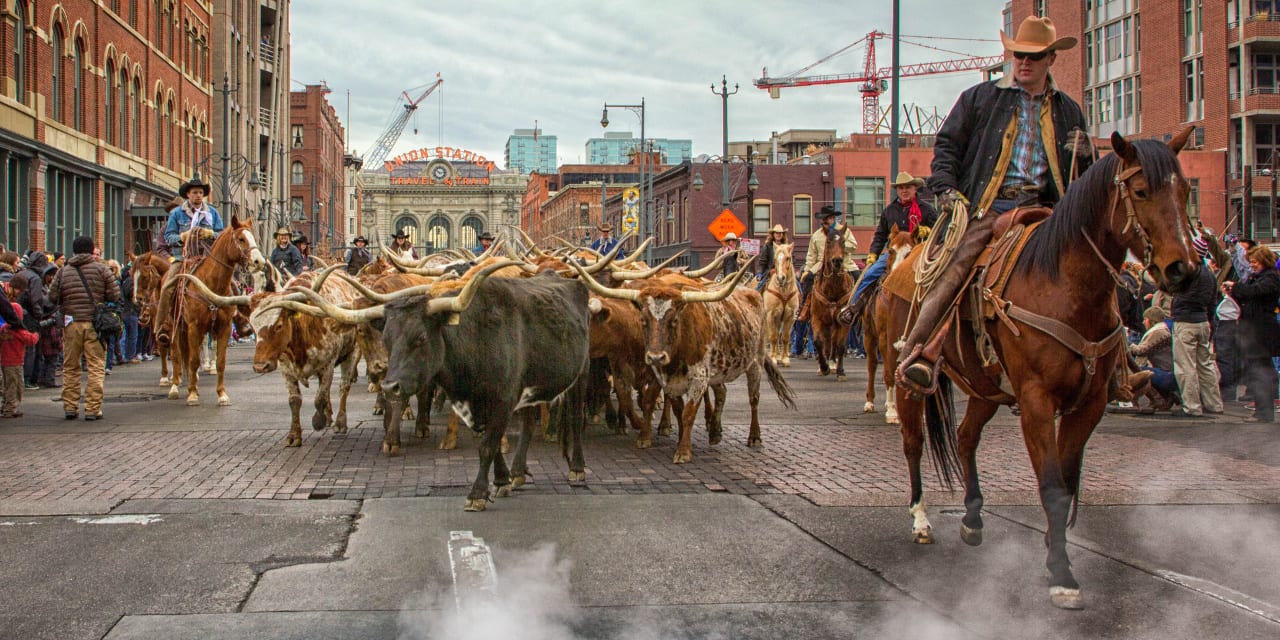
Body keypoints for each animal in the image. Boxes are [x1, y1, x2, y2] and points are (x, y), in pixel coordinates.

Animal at [167, 216, 267, 404]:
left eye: (253, 237)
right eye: (241, 239)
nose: (260, 262)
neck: (211, 283)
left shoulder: (224, 327)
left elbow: (220, 361)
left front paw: (221, 394)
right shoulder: (194, 327)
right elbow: (193, 360)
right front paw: (192, 394)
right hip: (174, 325)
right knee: (176, 354)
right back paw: (175, 386)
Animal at [803, 226, 855, 378]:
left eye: (843, 242)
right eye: (828, 242)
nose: (837, 260)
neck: (832, 289)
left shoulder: (843, 320)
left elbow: (841, 345)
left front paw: (840, 371)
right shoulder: (817, 319)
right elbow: (818, 342)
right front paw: (823, 367)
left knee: (833, 342)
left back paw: (832, 363)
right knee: (827, 341)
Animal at [865, 225, 916, 424]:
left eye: (910, 252)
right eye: (891, 250)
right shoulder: (884, 336)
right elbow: (888, 371)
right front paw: (893, 412)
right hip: (869, 336)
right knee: (872, 365)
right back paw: (870, 402)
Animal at [880, 129, 1198, 609]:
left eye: (1184, 192)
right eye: (1141, 191)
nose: (1182, 269)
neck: (1066, 286)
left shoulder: (1090, 403)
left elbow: (1064, 485)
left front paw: (1055, 555)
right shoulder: (1035, 400)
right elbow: (1050, 483)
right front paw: (1062, 574)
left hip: (984, 386)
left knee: (965, 438)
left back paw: (972, 518)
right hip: (909, 375)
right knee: (914, 443)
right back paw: (920, 518)